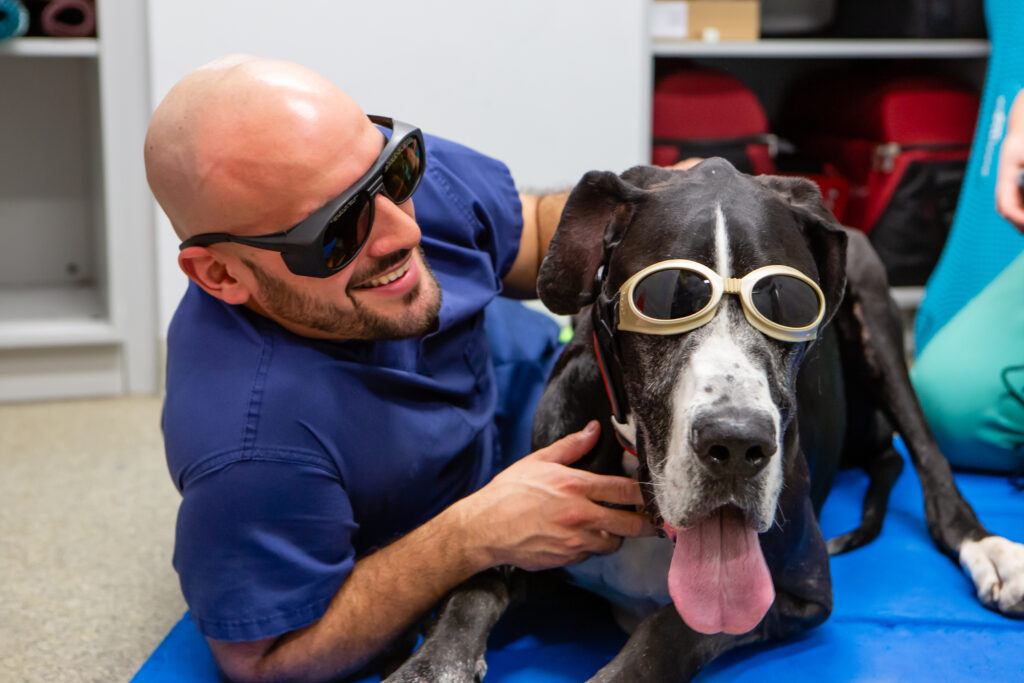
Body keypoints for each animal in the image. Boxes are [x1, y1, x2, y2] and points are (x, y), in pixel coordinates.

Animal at [385, 157, 1024, 679]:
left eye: (786, 301)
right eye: (668, 296)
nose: (737, 445)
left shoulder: (799, 594)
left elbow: (665, 634)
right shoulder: (529, 520)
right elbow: (473, 583)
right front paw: (430, 665)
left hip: (876, 303)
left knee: (931, 461)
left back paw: (989, 549)